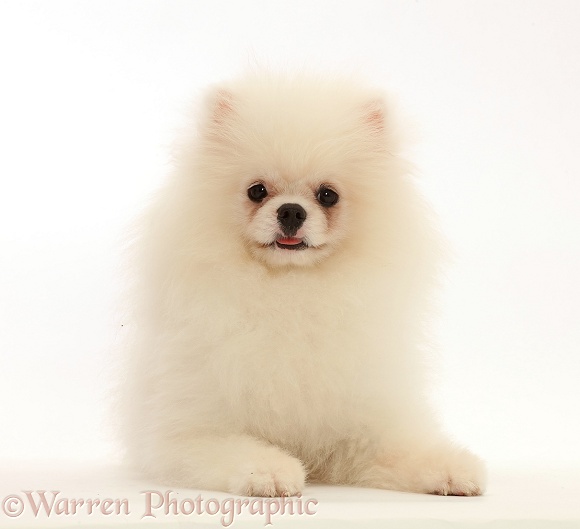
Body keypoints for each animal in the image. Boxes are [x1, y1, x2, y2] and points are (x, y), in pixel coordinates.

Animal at [121, 72, 484, 498]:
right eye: (257, 191)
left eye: (328, 195)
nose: (292, 211)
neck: (291, 292)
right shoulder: (191, 433)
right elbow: (237, 448)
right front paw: (269, 471)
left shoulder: (363, 425)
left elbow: (404, 448)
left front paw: (452, 469)